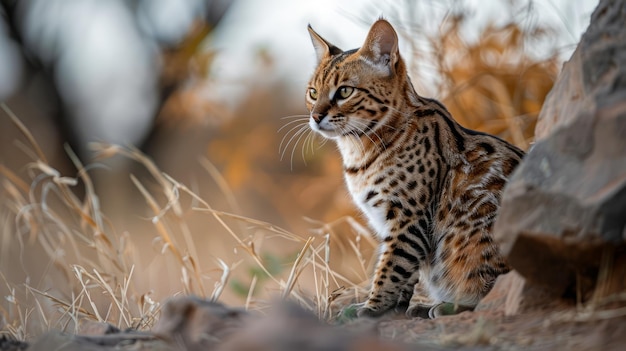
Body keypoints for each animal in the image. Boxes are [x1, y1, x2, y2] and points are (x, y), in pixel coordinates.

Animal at [302, 20, 520, 320]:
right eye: (313, 93)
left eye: (345, 91)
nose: (315, 116)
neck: (359, 149)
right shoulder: (393, 223)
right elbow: (405, 271)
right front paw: (393, 306)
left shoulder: (409, 217)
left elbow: (392, 267)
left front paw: (372, 307)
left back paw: (448, 305)